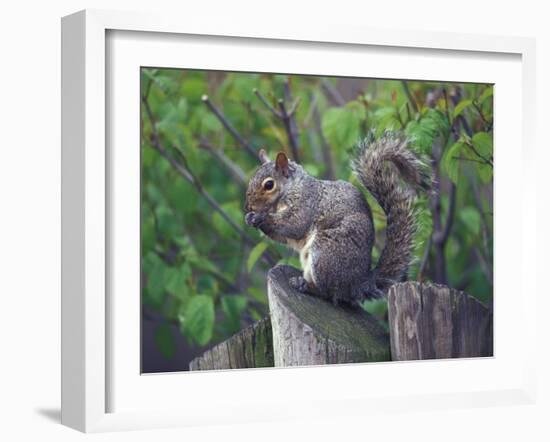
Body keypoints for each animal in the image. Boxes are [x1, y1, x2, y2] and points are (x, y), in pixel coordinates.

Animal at [245, 129, 432, 306]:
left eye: (269, 185)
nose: (249, 206)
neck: (291, 189)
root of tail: (359, 284)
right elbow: (282, 236)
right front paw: (250, 218)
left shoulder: (306, 204)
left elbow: (294, 225)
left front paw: (261, 217)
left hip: (325, 253)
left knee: (328, 293)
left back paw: (305, 285)